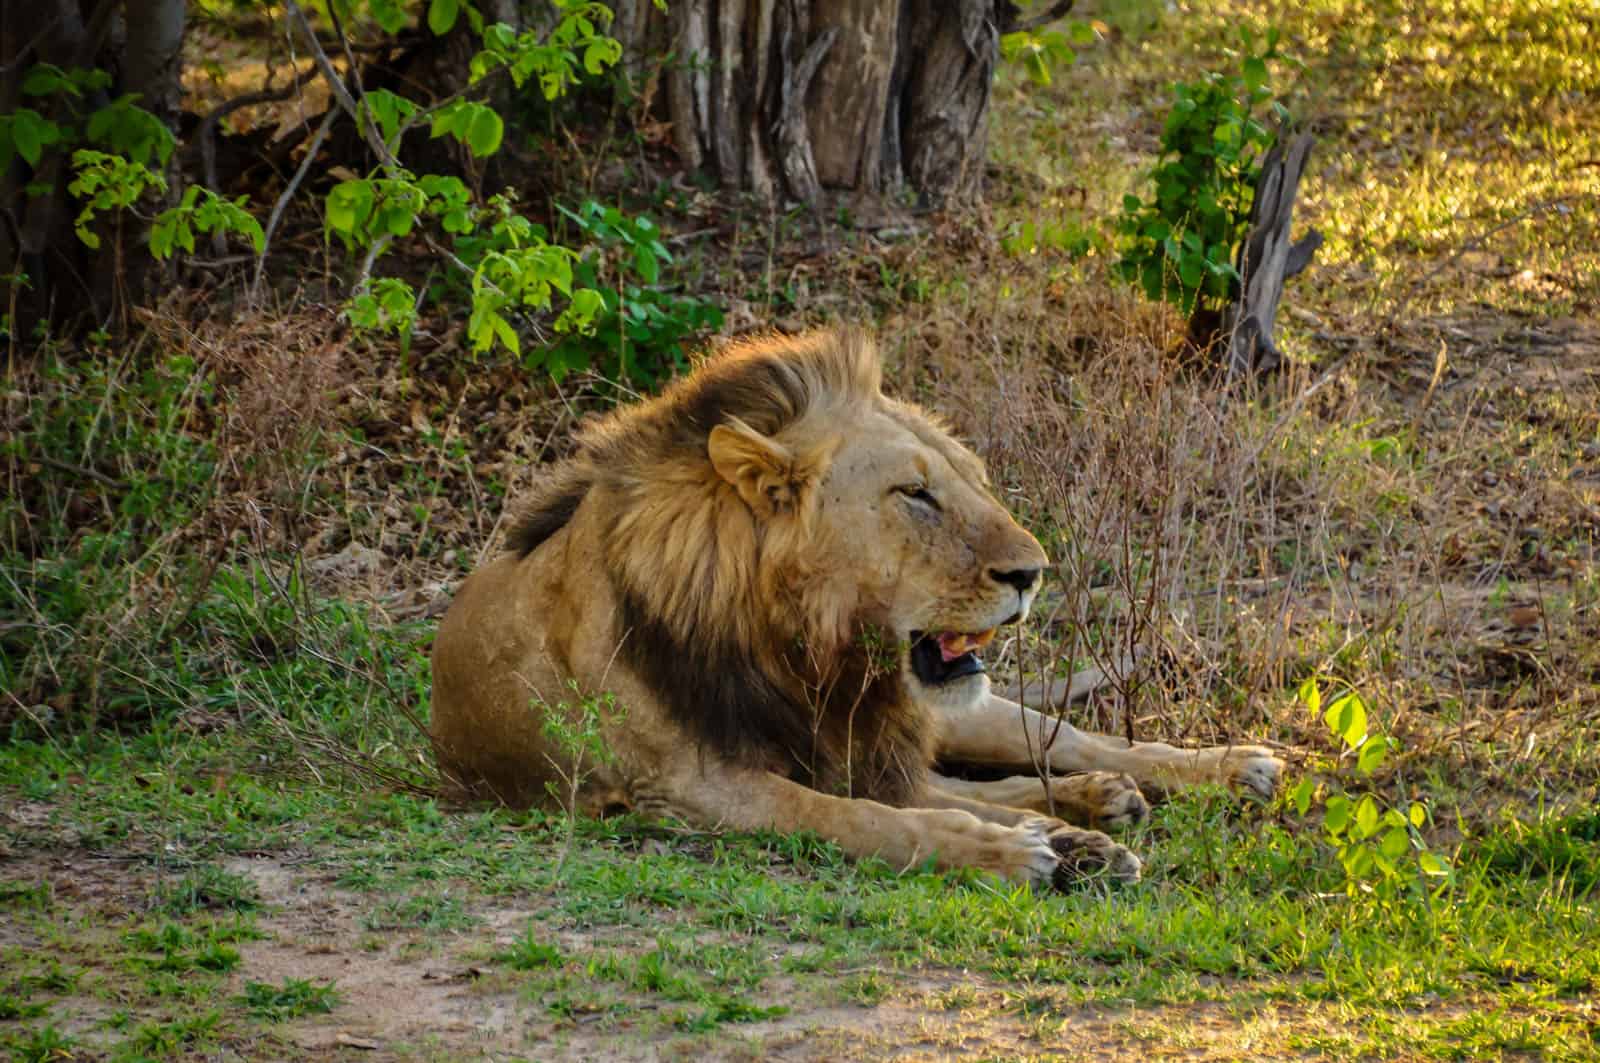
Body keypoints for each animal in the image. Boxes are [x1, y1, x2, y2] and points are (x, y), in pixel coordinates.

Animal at [430, 329, 1282, 887]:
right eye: (915, 493)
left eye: (973, 479)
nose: (1033, 573)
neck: (807, 652)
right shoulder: (690, 787)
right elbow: (871, 817)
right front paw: (1019, 851)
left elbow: (919, 799)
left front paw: (1057, 842)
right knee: (985, 785)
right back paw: (1091, 818)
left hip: (957, 712)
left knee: (1063, 738)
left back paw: (1225, 769)